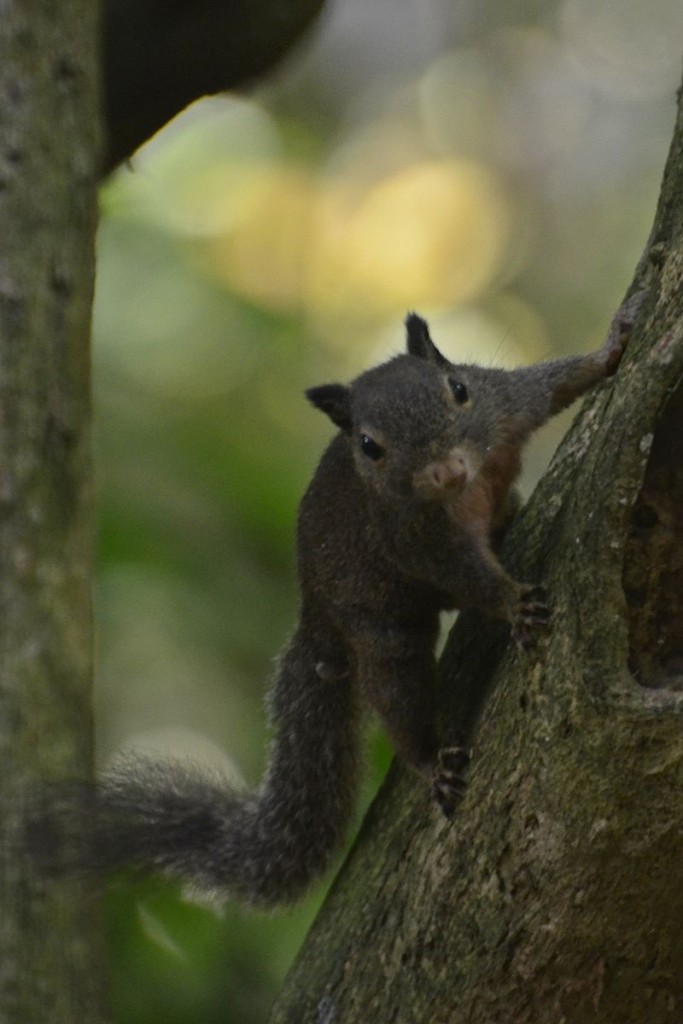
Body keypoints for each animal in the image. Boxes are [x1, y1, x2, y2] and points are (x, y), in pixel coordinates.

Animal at [31, 307, 634, 909]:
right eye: (370, 446)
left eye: (458, 388)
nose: (444, 472)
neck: (467, 488)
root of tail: (316, 613)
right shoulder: (415, 538)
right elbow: (472, 579)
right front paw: (513, 604)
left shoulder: (504, 405)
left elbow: (552, 384)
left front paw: (612, 346)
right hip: (380, 631)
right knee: (397, 693)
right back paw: (429, 760)